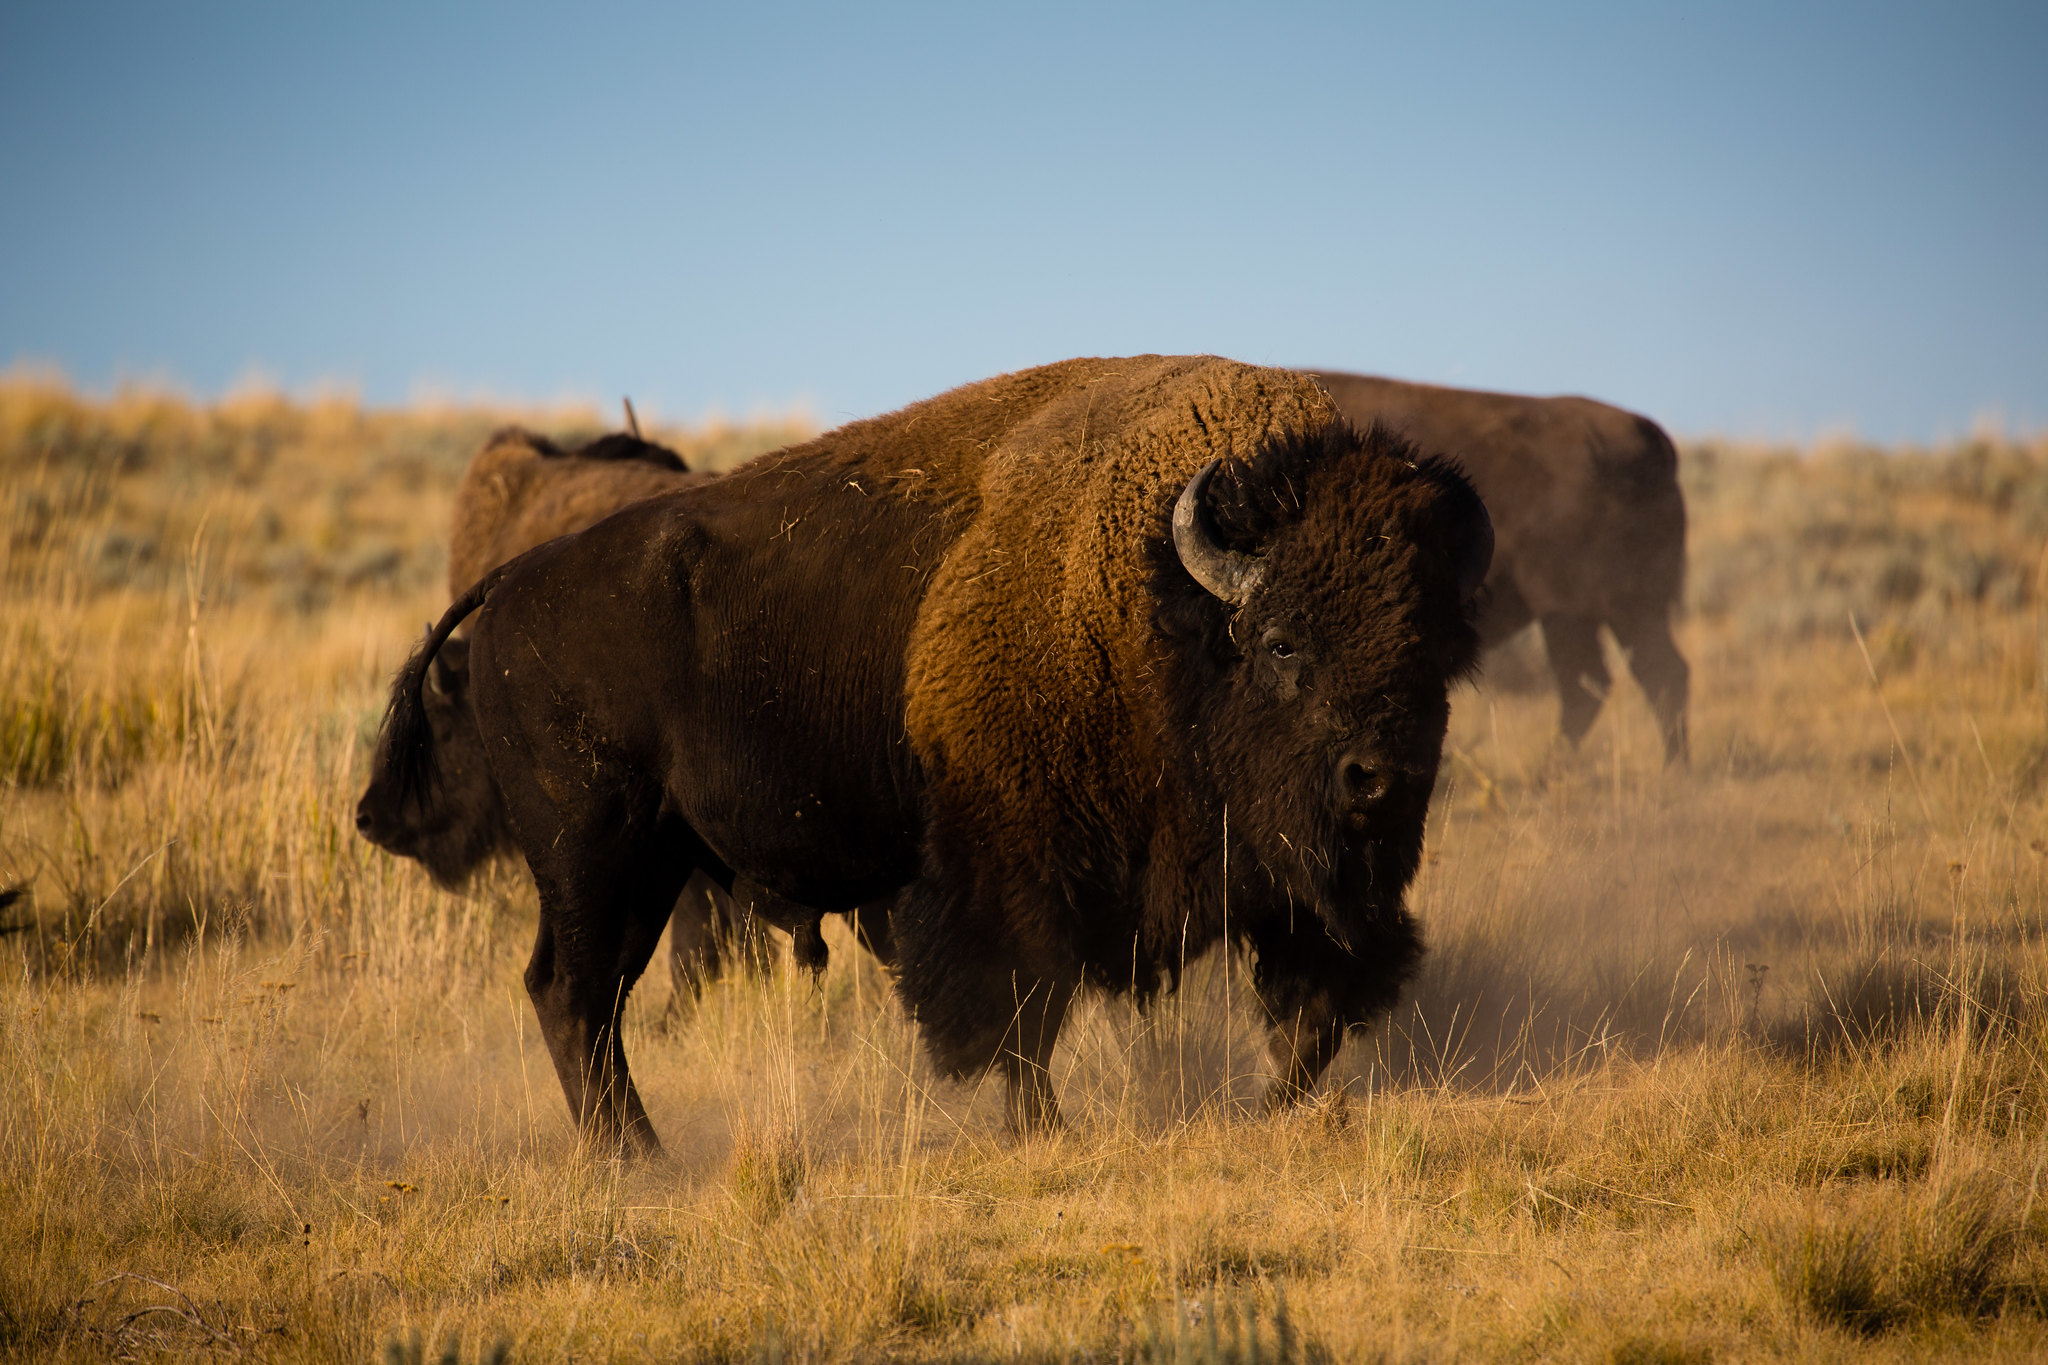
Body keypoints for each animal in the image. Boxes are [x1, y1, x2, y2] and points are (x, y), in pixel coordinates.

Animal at [376, 351, 1490, 1154]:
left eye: (1432, 649)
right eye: (1282, 641)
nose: (1378, 780)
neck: (1158, 609)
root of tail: (509, 585)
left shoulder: (1300, 888)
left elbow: (1310, 1013)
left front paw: (1266, 1111)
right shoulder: (1010, 874)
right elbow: (1018, 1010)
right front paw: (1043, 1131)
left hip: (650, 862)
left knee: (590, 994)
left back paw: (636, 1151)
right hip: (593, 849)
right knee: (571, 992)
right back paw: (634, 1157)